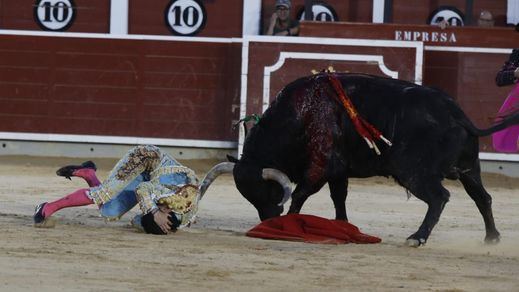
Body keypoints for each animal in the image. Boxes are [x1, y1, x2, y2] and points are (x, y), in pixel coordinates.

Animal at [203, 72, 519, 245]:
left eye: (268, 192)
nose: (267, 220)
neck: (299, 115)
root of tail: (457, 113)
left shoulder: (321, 167)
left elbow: (300, 195)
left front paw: (290, 224)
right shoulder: (339, 171)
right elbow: (339, 198)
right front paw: (342, 226)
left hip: (412, 171)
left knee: (439, 197)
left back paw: (416, 237)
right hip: (469, 169)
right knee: (482, 198)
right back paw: (492, 238)